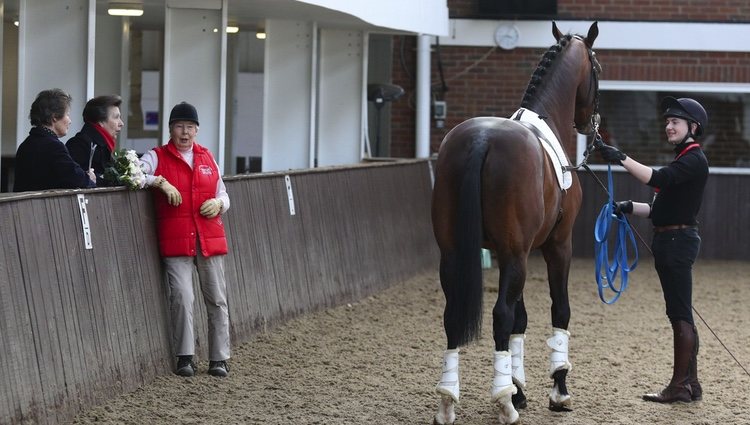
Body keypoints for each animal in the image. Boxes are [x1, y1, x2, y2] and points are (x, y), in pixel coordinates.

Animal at [432, 23, 604, 424]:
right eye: (597, 69)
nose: (590, 123)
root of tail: (482, 139)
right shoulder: (556, 246)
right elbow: (558, 310)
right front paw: (558, 391)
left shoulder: (517, 252)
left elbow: (521, 321)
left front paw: (519, 388)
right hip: (515, 254)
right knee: (500, 315)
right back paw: (504, 405)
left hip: (455, 254)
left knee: (453, 317)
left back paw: (448, 401)